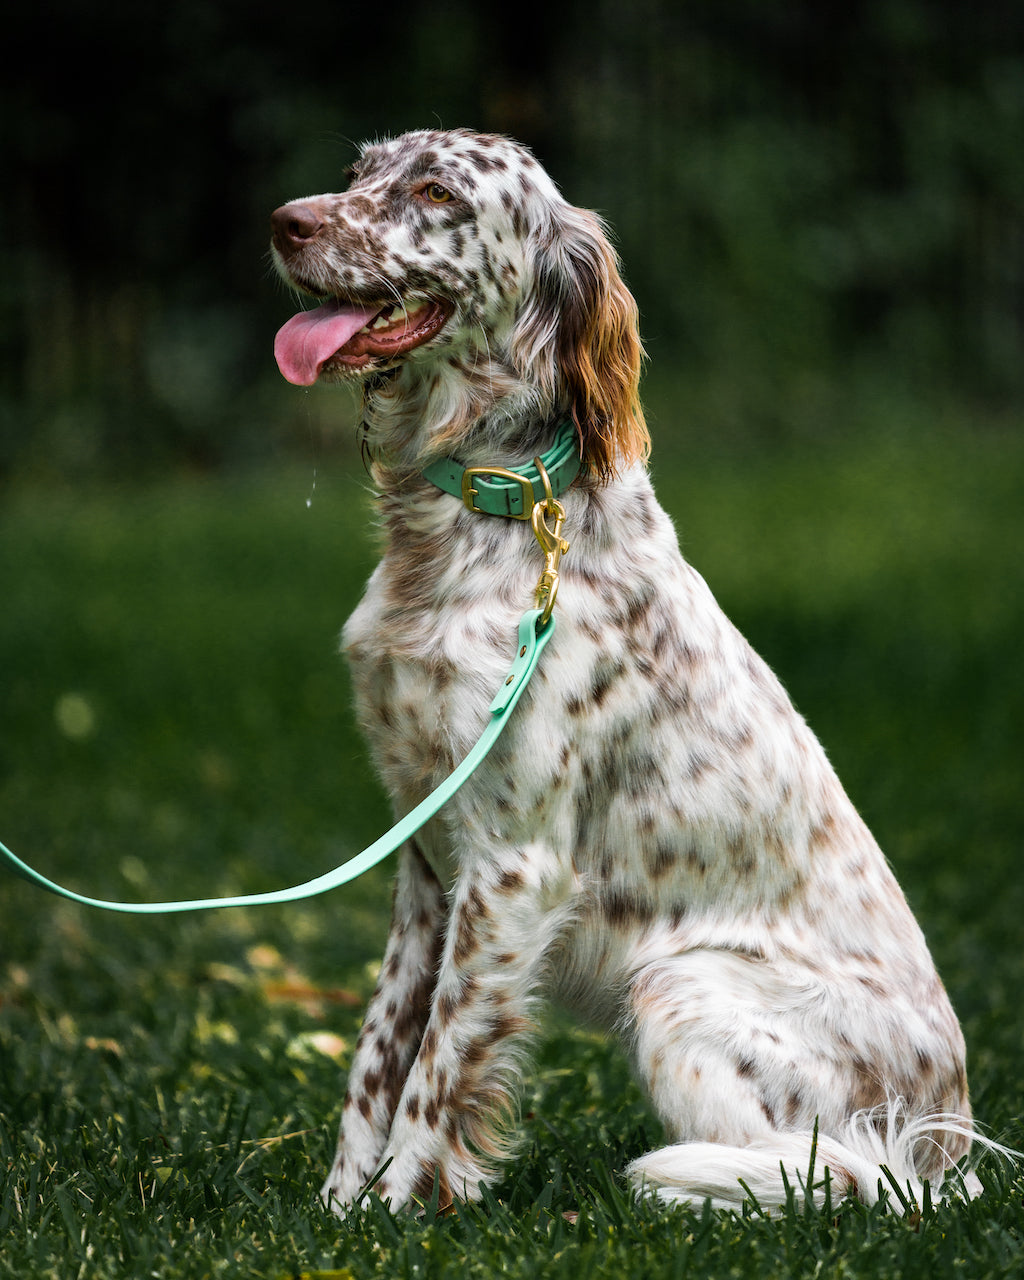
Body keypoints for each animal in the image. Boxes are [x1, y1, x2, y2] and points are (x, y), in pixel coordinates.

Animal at [270, 128, 983, 1214]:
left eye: (435, 191)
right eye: (359, 174)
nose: (284, 222)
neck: (475, 519)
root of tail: (947, 1155)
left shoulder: (514, 868)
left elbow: (434, 1072)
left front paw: (398, 1212)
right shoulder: (428, 867)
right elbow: (375, 1061)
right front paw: (340, 1212)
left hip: (678, 986)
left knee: (828, 1174)